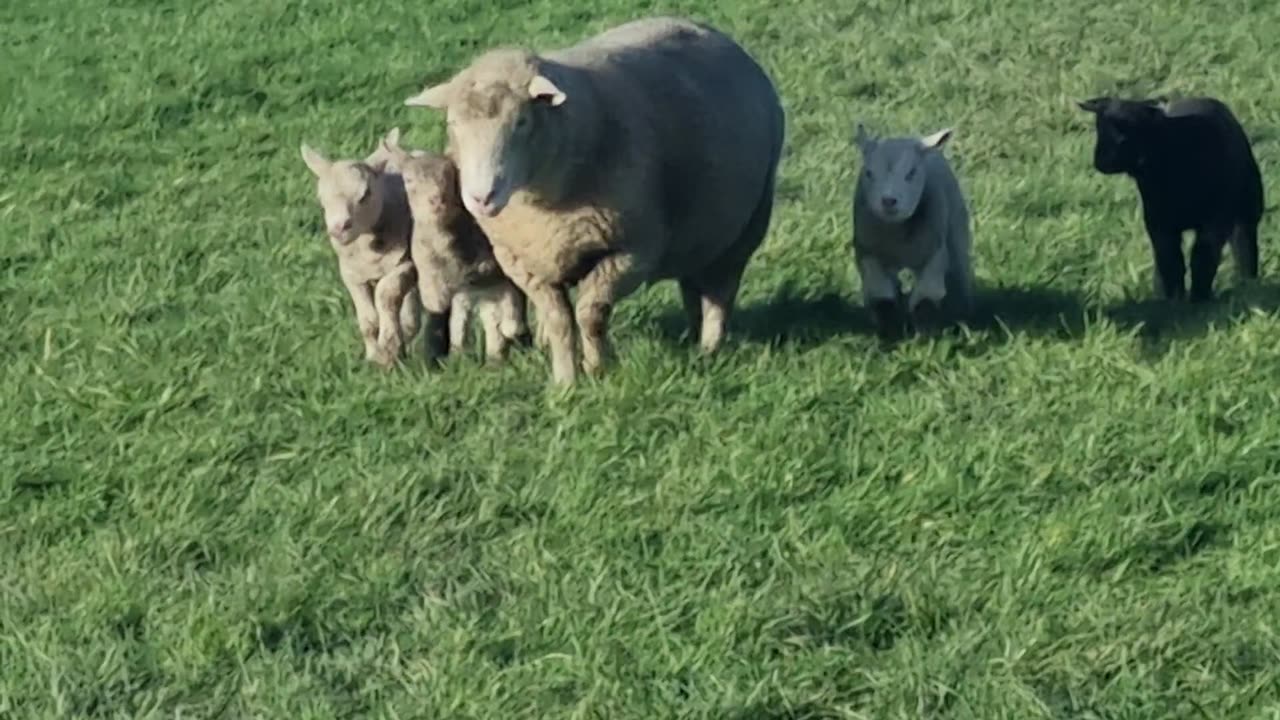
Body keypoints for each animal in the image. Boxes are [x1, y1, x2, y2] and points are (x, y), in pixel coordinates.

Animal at [300, 133, 417, 366]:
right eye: (321, 199)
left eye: (365, 194)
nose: (338, 228)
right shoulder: (352, 275)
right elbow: (368, 321)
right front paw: (375, 355)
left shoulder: (405, 263)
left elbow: (387, 295)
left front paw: (388, 346)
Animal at [384, 131, 535, 361]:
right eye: (408, 180)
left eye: (451, 175)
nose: (436, 200)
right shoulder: (432, 278)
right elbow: (437, 320)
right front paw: (432, 359)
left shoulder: (498, 273)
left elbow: (510, 314)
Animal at [401, 14, 778, 384]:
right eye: (452, 124)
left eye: (521, 121)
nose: (481, 197)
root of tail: (707, 28)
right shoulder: (523, 261)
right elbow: (559, 322)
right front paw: (565, 382)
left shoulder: (632, 252)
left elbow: (589, 315)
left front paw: (596, 370)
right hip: (699, 233)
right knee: (693, 284)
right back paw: (695, 339)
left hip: (746, 227)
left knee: (720, 291)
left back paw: (710, 347)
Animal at [849, 121, 967, 338]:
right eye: (869, 173)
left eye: (911, 173)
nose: (888, 201)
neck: (898, 236)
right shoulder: (868, 253)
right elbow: (880, 293)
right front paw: (890, 328)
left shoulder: (934, 253)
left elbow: (927, 295)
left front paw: (925, 333)